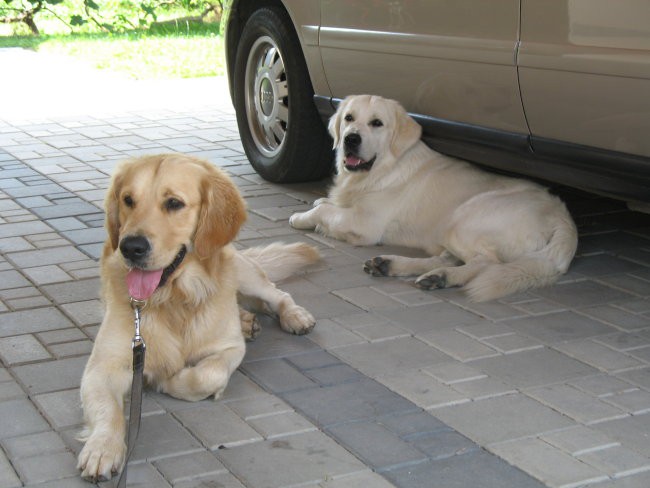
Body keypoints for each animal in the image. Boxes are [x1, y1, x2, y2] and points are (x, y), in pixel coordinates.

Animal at [78, 155, 318, 480]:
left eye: (174, 203)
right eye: (128, 200)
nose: (131, 247)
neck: (175, 299)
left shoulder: (231, 348)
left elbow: (208, 374)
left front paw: (169, 379)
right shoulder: (103, 366)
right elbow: (108, 410)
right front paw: (102, 447)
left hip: (244, 272)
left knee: (276, 294)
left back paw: (294, 315)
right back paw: (246, 320)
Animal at [292, 95, 576, 302]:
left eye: (377, 123)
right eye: (349, 118)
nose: (351, 138)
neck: (385, 167)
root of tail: (562, 218)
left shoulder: (364, 225)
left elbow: (323, 211)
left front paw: (301, 217)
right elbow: (325, 204)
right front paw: (320, 203)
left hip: (463, 220)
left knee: (485, 262)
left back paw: (443, 276)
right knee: (447, 257)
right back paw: (396, 266)